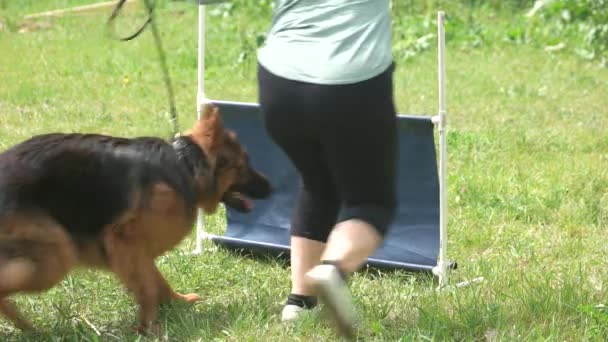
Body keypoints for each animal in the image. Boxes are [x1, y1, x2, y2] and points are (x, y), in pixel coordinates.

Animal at [0, 105, 272, 334]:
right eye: (243, 165)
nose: (272, 187)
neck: (185, 166)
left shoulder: (136, 251)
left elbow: (157, 279)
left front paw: (178, 302)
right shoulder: (124, 242)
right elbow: (148, 287)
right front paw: (148, 327)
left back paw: (27, 328)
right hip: (57, 256)